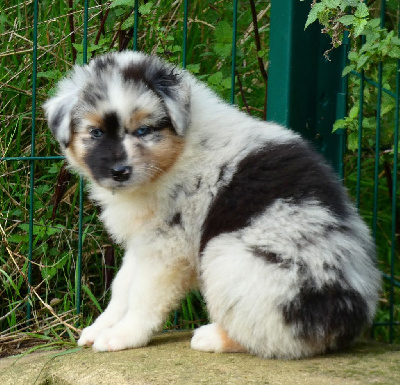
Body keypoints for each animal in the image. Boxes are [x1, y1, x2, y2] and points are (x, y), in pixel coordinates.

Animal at [43, 50, 382, 356]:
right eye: (95, 133)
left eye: (143, 130)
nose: (119, 171)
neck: (177, 152)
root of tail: (346, 318)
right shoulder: (144, 243)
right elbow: (122, 287)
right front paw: (100, 328)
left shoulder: (167, 249)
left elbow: (143, 295)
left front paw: (123, 336)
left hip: (229, 256)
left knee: (276, 336)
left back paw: (214, 337)